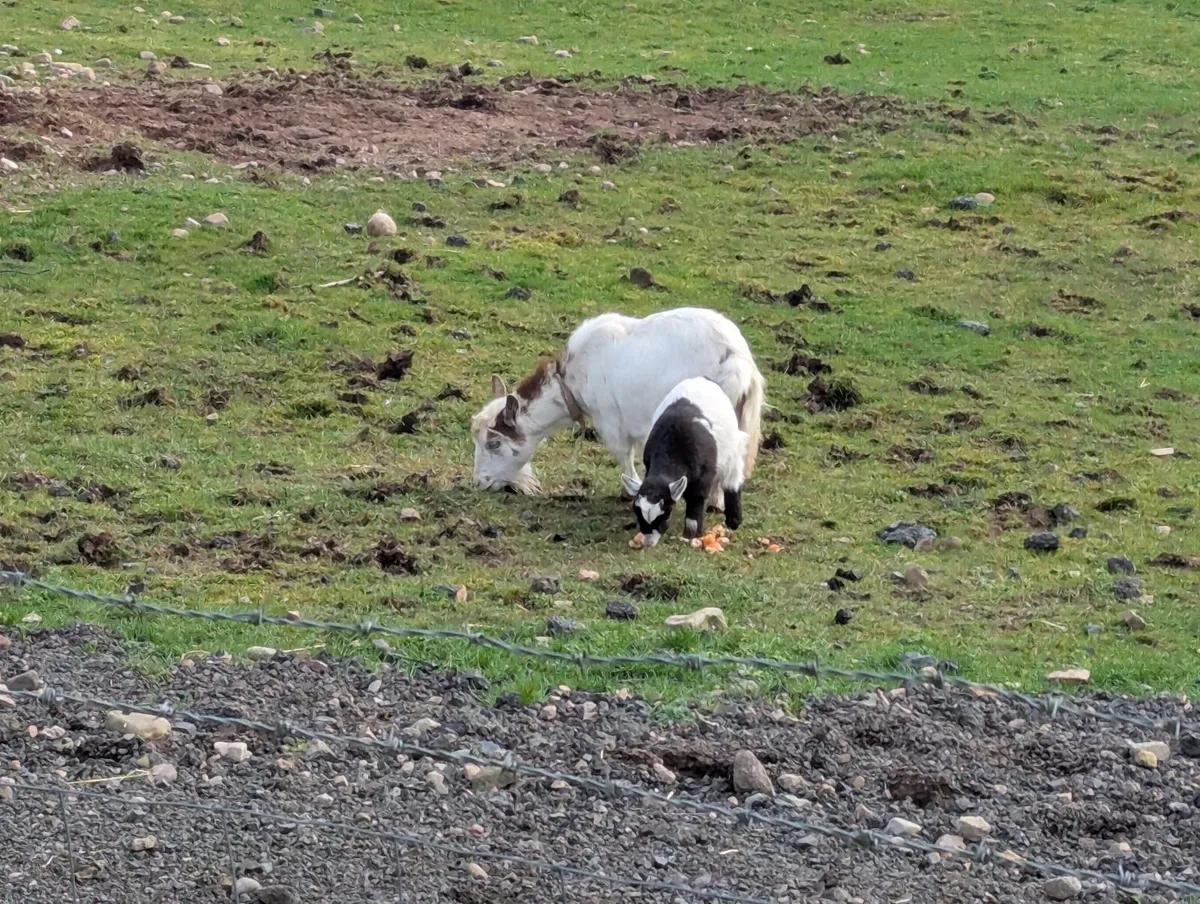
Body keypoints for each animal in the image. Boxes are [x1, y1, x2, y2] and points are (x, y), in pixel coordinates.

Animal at [471, 307, 765, 499]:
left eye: (494, 443)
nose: (479, 482)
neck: (572, 381)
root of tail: (735, 357)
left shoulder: (611, 419)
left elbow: (623, 455)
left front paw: (632, 490)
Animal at [623, 377, 748, 548]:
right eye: (638, 513)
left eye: (666, 513)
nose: (649, 542)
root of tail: (702, 378)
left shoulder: (704, 476)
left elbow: (696, 501)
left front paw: (693, 534)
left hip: (733, 449)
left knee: (732, 480)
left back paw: (733, 520)